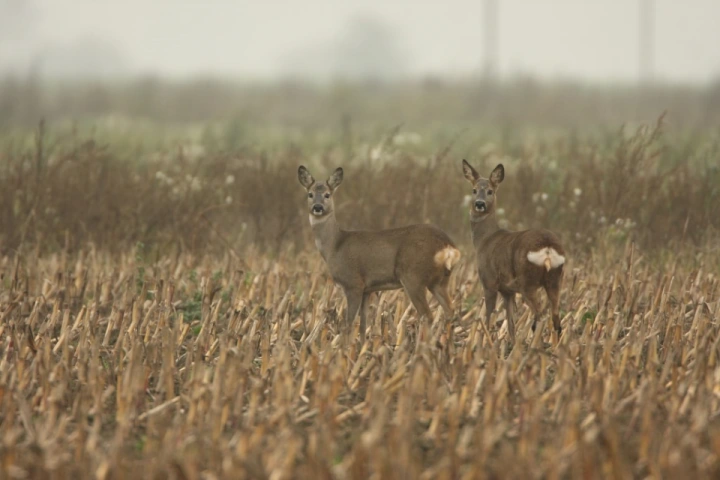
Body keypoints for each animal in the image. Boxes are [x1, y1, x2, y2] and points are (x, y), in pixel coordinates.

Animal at [298, 166, 462, 344]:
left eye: (328, 194)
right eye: (310, 194)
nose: (318, 207)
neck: (335, 245)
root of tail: (449, 246)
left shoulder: (353, 283)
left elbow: (348, 324)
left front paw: (344, 348)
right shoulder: (367, 289)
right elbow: (363, 324)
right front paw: (362, 346)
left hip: (413, 276)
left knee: (427, 315)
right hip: (440, 281)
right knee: (450, 310)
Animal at [462, 159, 568, 344]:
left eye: (490, 191)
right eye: (474, 190)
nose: (479, 204)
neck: (485, 239)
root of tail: (548, 248)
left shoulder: (488, 281)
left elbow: (488, 318)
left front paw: (484, 343)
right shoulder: (507, 290)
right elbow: (510, 321)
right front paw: (510, 343)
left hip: (528, 282)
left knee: (539, 316)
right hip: (555, 279)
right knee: (555, 318)